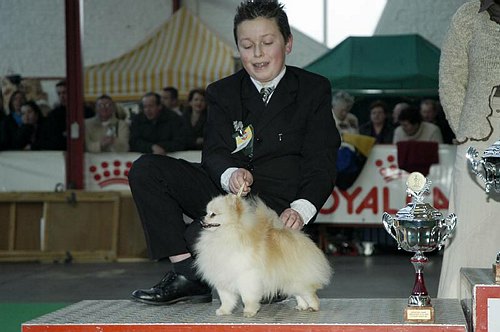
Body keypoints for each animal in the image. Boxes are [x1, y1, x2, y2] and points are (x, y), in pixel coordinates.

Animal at [194, 193, 332, 318]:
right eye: (207, 213)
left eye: (213, 214)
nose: (202, 219)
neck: (225, 234)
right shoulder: (223, 277)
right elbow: (226, 299)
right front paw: (223, 311)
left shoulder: (247, 277)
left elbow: (247, 298)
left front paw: (249, 312)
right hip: (291, 280)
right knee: (299, 293)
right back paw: (301, 306)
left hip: (298, 278)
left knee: (310, 294)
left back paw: (313, 307)